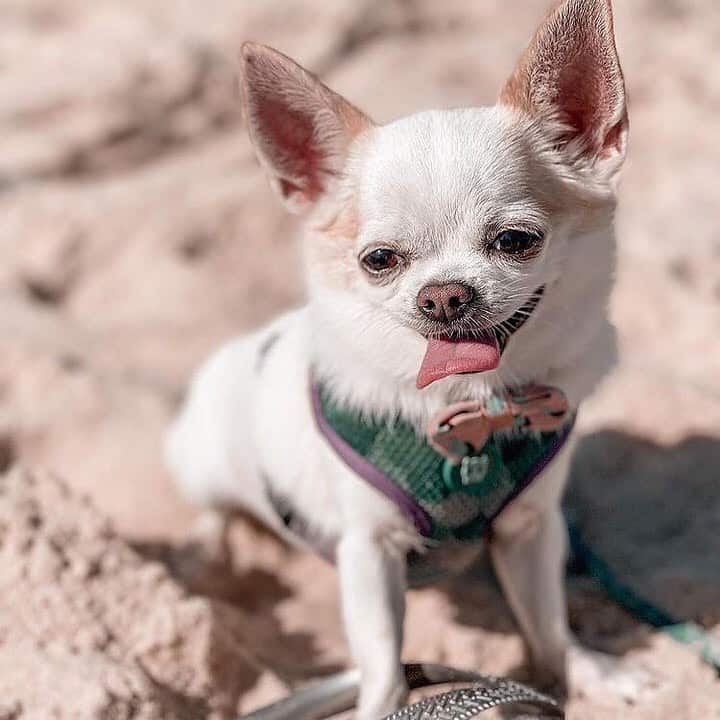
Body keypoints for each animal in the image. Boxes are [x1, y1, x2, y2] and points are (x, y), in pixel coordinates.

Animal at [167, 1, 652, 716]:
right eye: (379, 260)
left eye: (516, 241)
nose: (445, 294)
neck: (474, 412)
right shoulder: (369, 551)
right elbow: (383, 661)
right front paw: (381, 704)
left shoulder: (531, 531)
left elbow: (550, 626)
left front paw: (594, 673)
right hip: (203, 461)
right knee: (214, 511)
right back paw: (208, 547)